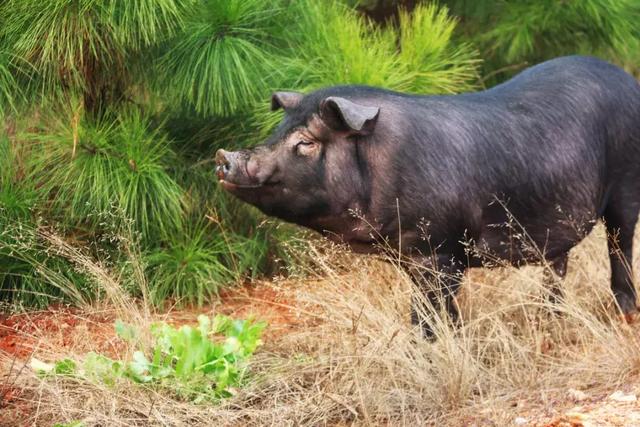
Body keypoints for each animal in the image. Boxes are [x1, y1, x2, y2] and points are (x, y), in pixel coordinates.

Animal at [216, 56, 640, 338]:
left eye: (305, 142)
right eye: (277, 131)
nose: (224, 158)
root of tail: (626, 79)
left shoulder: (441, 250)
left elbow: (427, 316)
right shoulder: (412, 255)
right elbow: (437, 313)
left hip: (625, 184)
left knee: (620, 246)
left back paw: (624, 316)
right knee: (558, 263)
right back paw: (549, 319)